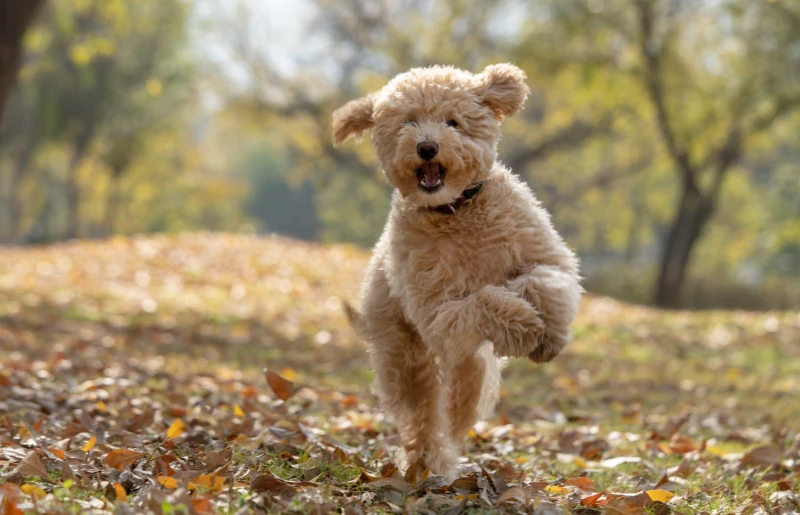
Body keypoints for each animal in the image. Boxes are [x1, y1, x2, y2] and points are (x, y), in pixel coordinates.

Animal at [332, 63, 580, 480]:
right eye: (408, 122)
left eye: (453, 122)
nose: (427, 147)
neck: (456, 211)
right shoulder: (438, 313)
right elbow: (483, 300)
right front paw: (525, 325)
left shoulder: (543, 254)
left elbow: (544, 281)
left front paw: (548, 336)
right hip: (406, 357)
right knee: (423, 416)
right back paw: (429, 462)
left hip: (468, 365)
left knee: (461, 398)